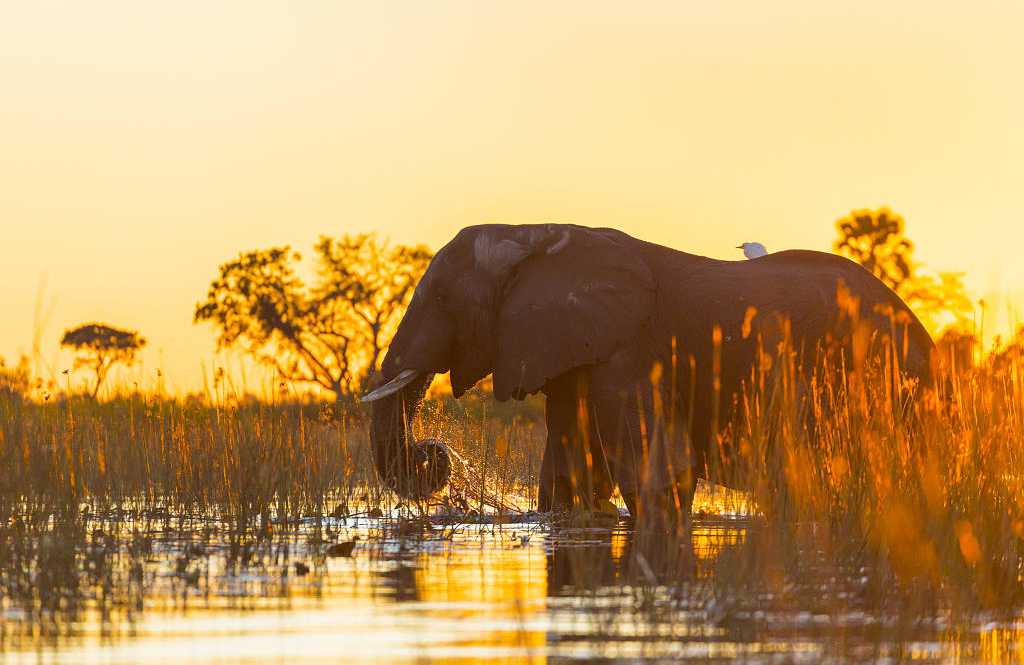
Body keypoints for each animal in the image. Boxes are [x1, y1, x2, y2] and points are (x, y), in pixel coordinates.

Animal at [362, 223, 934, 521]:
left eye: (443, 298)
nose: (434, 453)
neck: (537, 234)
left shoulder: (629, 351)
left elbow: (657, 474)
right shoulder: (576, 351)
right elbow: (569, 472)